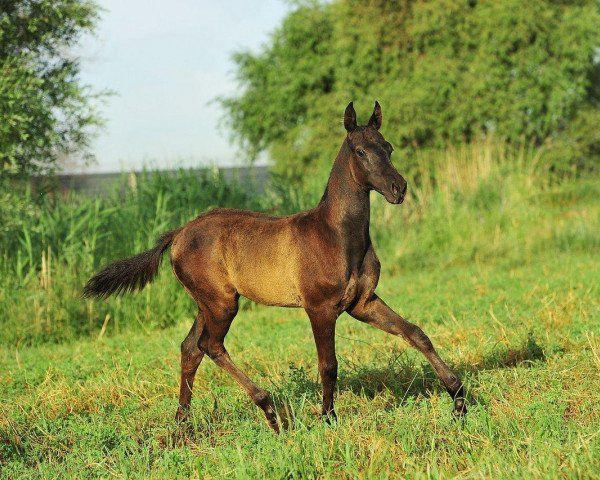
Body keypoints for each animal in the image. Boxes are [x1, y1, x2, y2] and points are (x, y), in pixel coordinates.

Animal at [84, 103, 466, 434]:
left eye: (388, 147)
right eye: (360, 151)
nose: (398, 189)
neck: (336, 235)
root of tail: (178, 234)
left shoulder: (362, 303)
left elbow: (415, 333)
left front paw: (458, 397)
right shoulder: (320, 308)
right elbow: (329, 365)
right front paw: (328, 418)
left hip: (208, 303)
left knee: (191, 348)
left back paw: (183, 423)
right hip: (222, 304)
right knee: (210, 346)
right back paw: (269, 410)